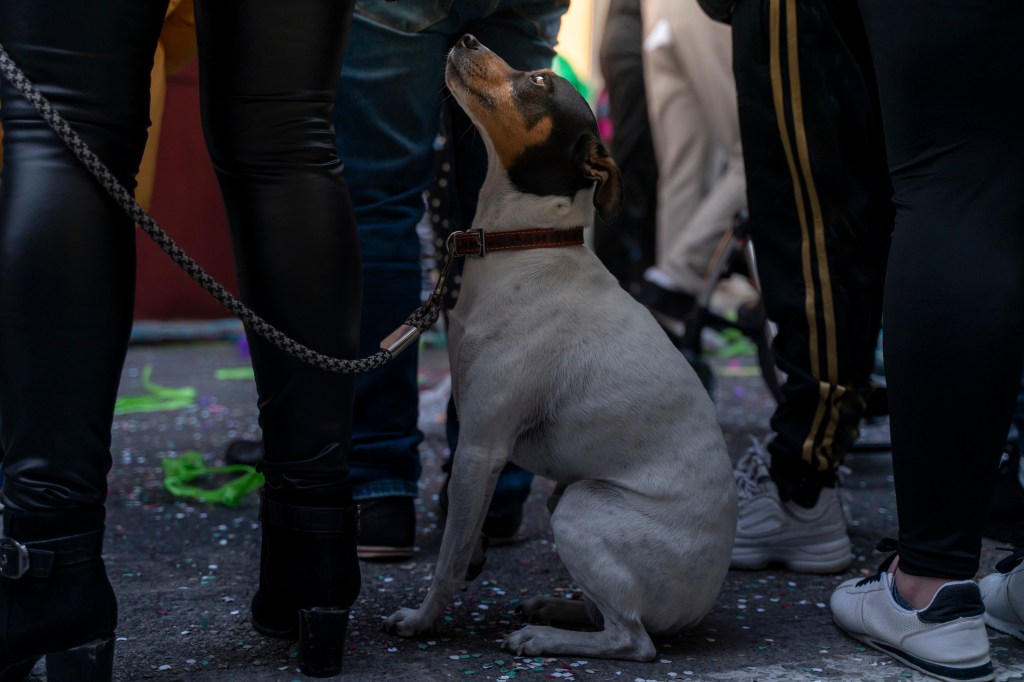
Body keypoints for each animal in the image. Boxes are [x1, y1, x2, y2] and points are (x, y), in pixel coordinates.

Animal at [385, 33, 737, 659]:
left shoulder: (481, 444)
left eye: (541, 81)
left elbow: (449, 556)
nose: (467, 36)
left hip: (581, 506)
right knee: (610, 616)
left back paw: (542, 636)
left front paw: (423, 620)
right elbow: (463, 530)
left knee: (632, 639)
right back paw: (559, 609)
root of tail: (699, 607)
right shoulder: (474, 443)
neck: (526, 244)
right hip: (563, 494)